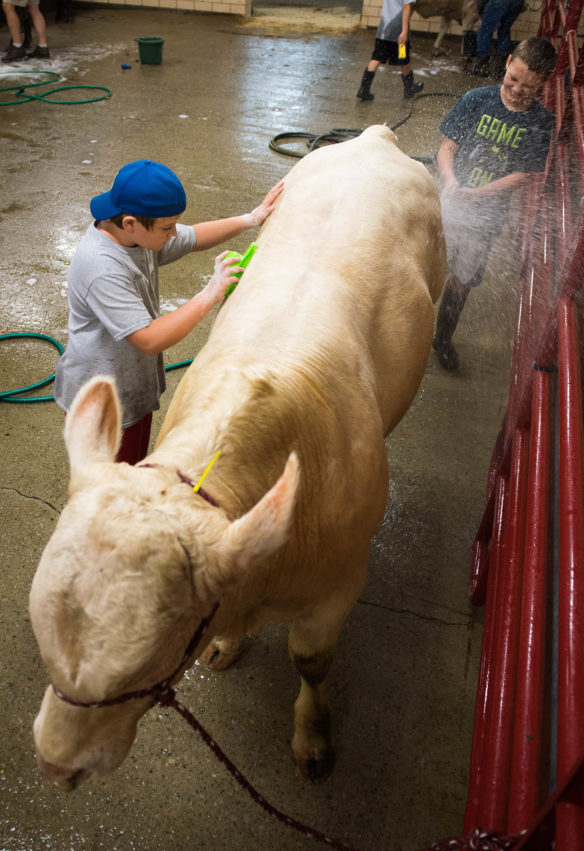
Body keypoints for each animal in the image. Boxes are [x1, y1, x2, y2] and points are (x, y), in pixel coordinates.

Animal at [29, 126, 444, 792]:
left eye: (151, 661)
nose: (55, 761)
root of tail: (370, 137)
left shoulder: (342, 581)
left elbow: (312, 661)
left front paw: (312, 740)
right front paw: (225, 646)